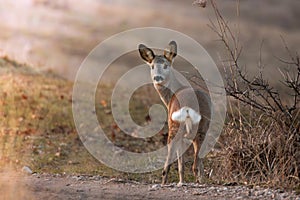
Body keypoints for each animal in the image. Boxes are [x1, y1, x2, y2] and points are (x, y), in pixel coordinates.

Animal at [138, 41, 211, 186]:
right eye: (152, 66)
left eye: (166, 65)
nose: (157, 78)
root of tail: (189, 107)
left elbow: (180, 162)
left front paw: (181, 182)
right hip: (202, 128)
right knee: (197, 162)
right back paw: (200, 181)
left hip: (174, 126)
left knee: (170, 164)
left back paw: (164, 182)